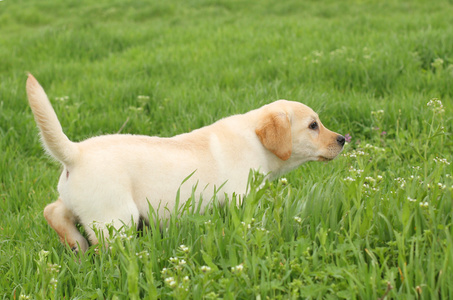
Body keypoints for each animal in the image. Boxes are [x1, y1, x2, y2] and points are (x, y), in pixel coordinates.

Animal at [25, 74, 342, 252]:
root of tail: (75, 153)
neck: (255, 139)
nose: (342, 139)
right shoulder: (241, 197)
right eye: (313, 126)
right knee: (107, 248)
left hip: (78, 203)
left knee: (52, 211)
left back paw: (75, 244)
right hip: (116, 217)